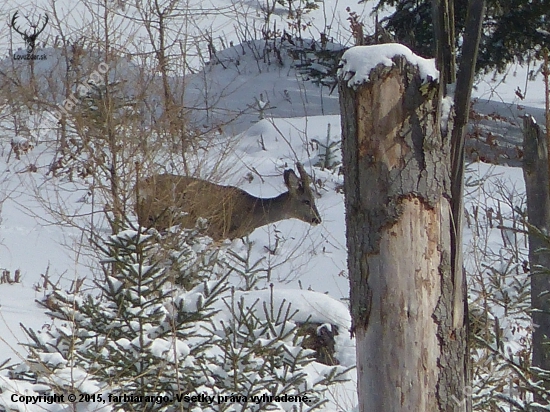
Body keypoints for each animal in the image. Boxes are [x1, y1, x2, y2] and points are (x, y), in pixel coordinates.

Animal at [135, 163, 322, 240]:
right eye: (306, 201)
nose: (318, 220)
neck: (252, 212)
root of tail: (138, 187)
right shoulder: (220, 231)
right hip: (157, 217)